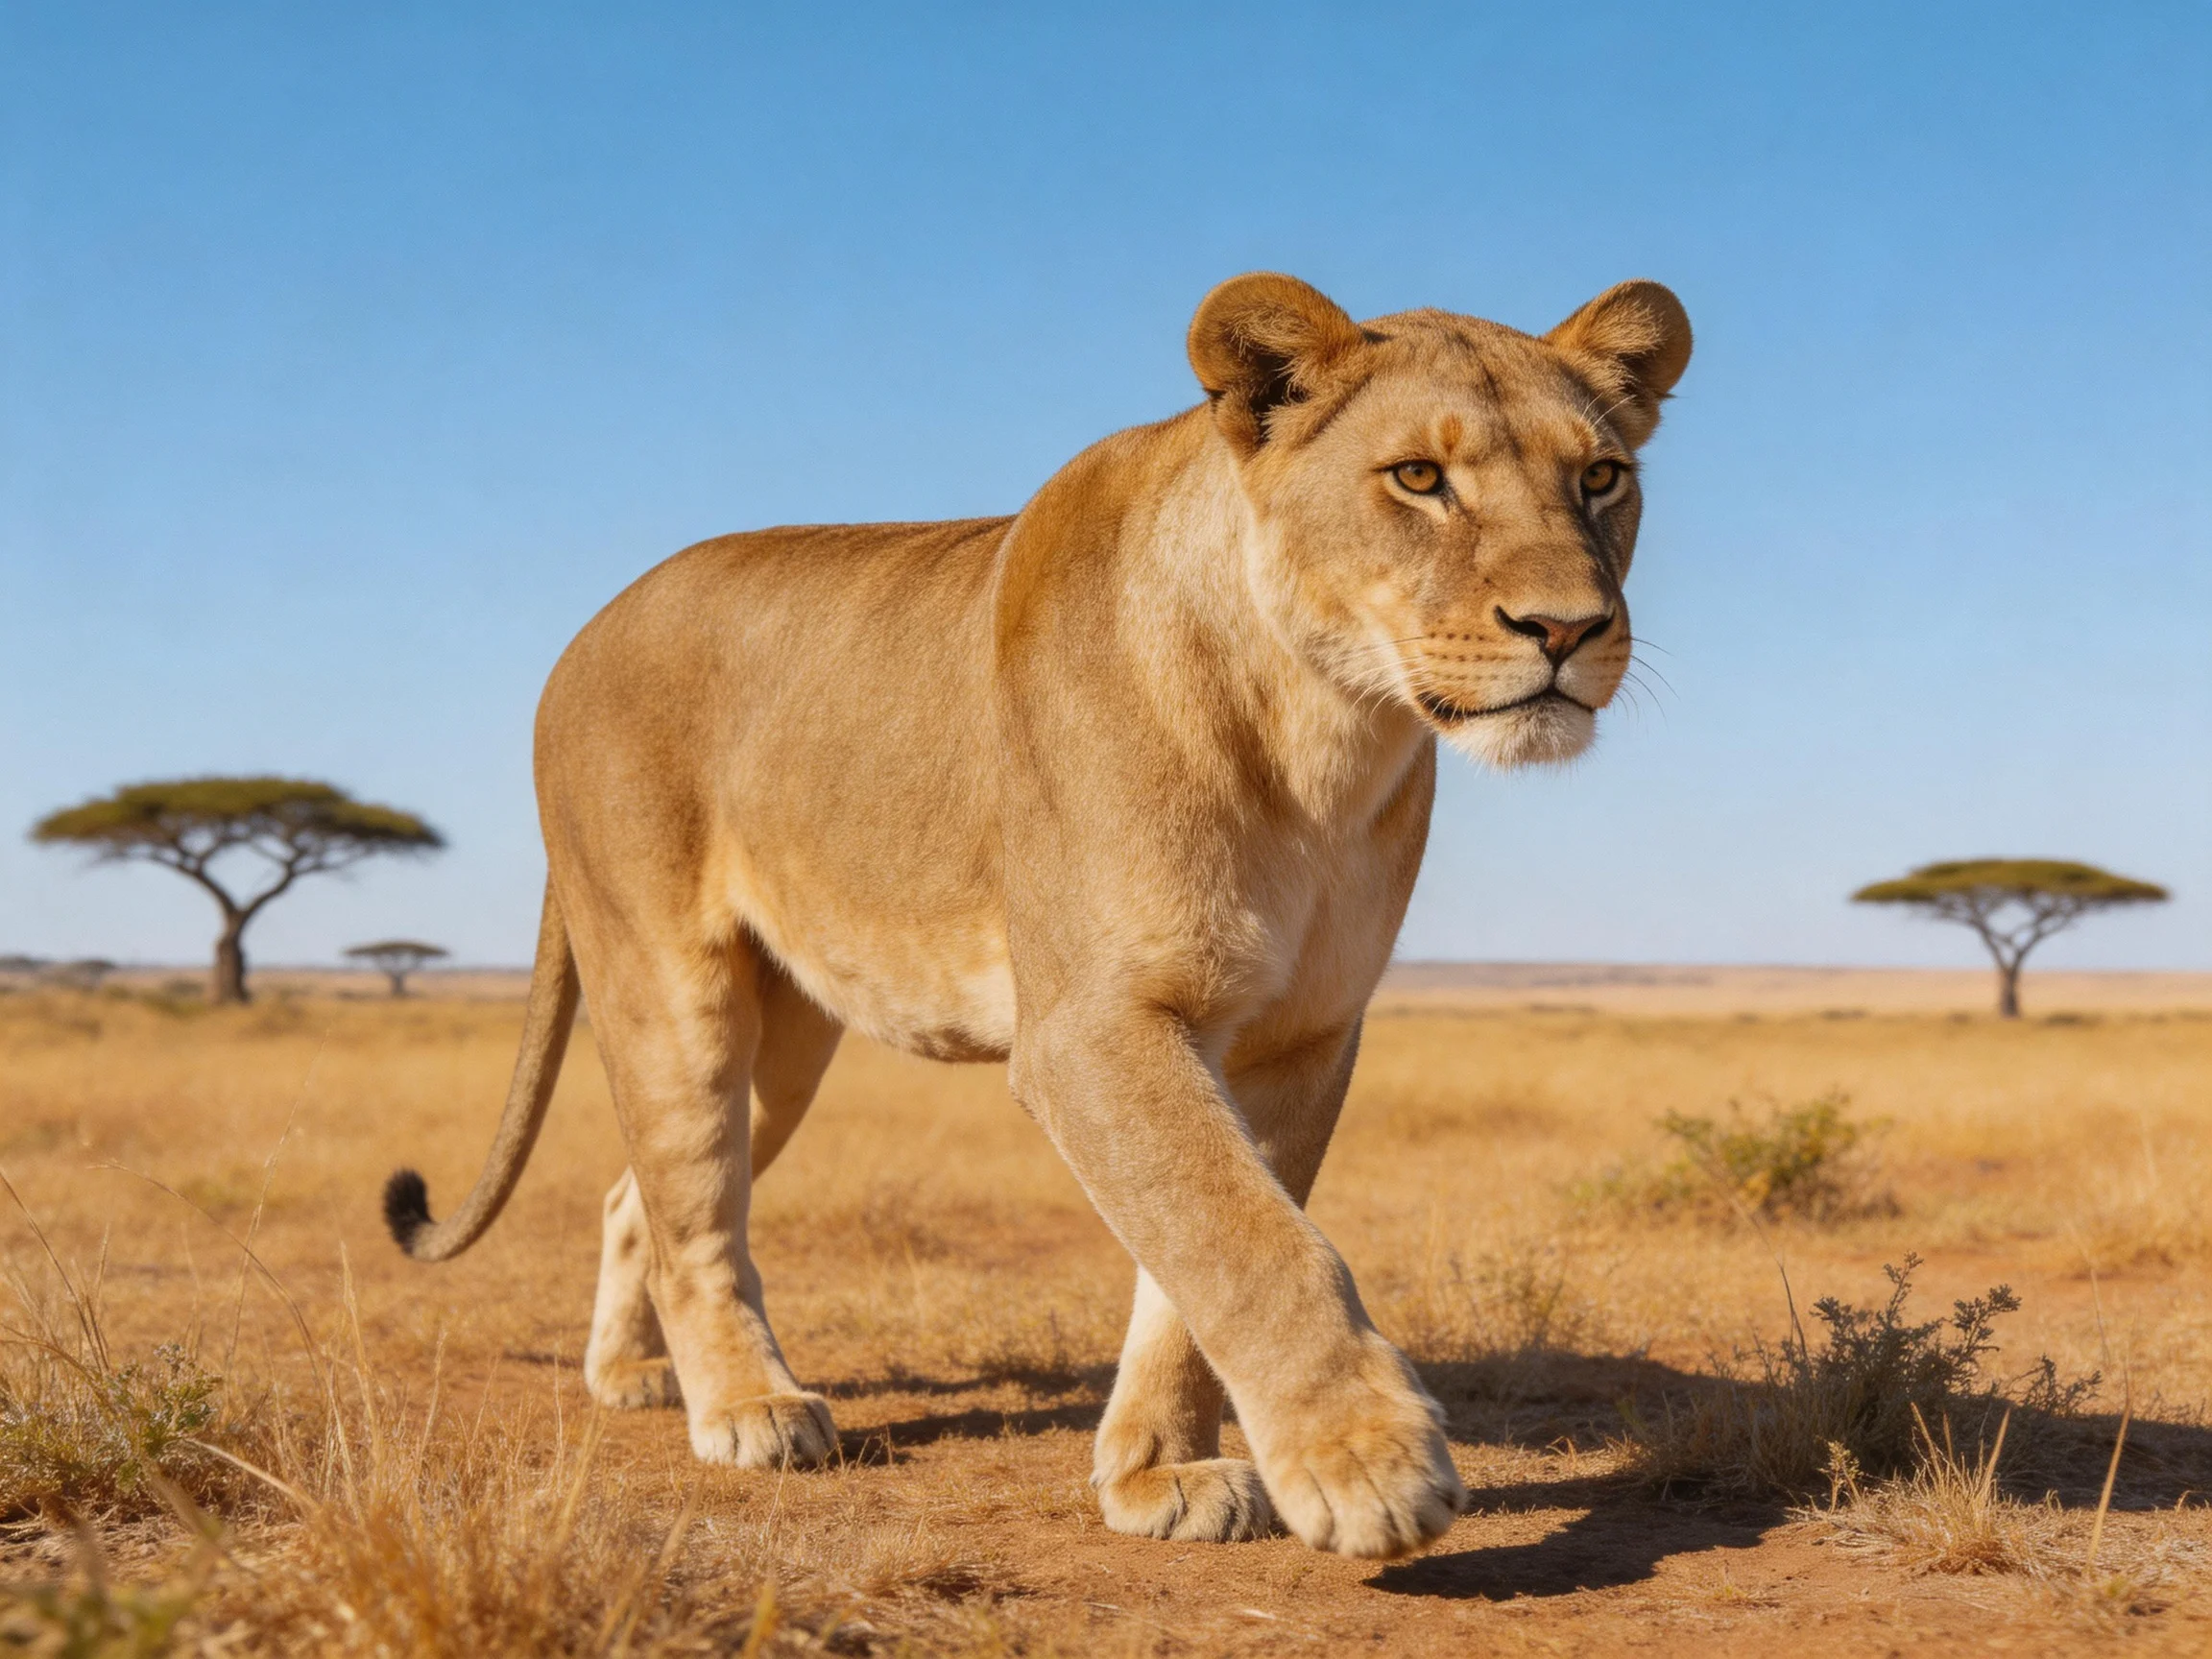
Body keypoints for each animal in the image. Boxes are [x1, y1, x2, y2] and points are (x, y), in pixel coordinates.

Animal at [382, 272, 1692, 1560]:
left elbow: (1201, 1247)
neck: (1324, 732)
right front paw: (1364, 1462)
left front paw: (1161, 1471)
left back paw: (633, 1376)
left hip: (788, 1041)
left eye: (1600, 477)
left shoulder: (1300, 1035)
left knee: (638, 1198)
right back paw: (749, 1409)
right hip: (670, 981)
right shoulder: (1090, 1028)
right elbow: (1245, 1239)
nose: (1568, 629)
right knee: (694, 1205)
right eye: (1419, 477)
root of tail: (586, 630)